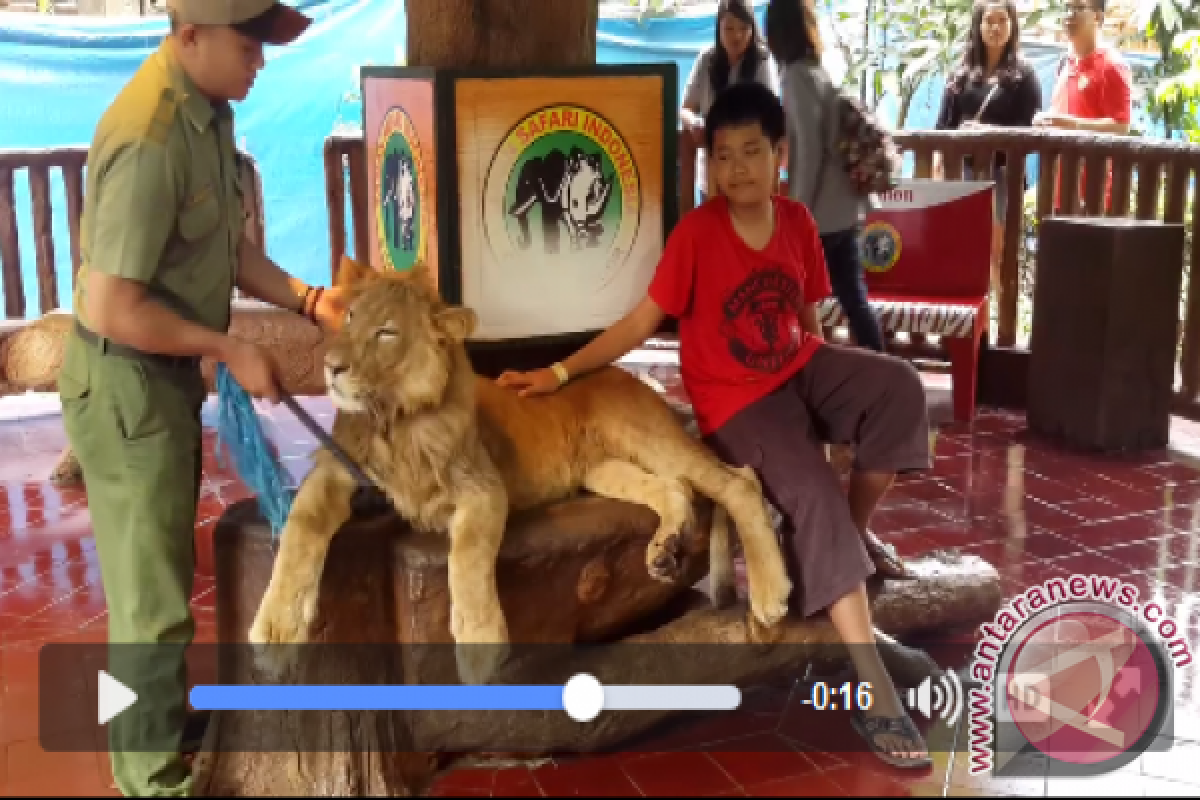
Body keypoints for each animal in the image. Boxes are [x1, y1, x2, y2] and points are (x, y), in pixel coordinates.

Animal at [248, 260, 792, 686]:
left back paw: (768, 594)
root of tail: (629, 376)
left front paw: (479, 642)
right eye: (350, 318)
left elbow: (467, 556)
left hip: (651, 439)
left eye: (386, 332)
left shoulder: (483, 486)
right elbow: (300, 528)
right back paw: (663, 551)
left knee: (738, 480)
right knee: (674, 488)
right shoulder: (334, 469)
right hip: (603, 469)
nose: (331, 366)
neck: (395, 421)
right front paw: (275, 629)